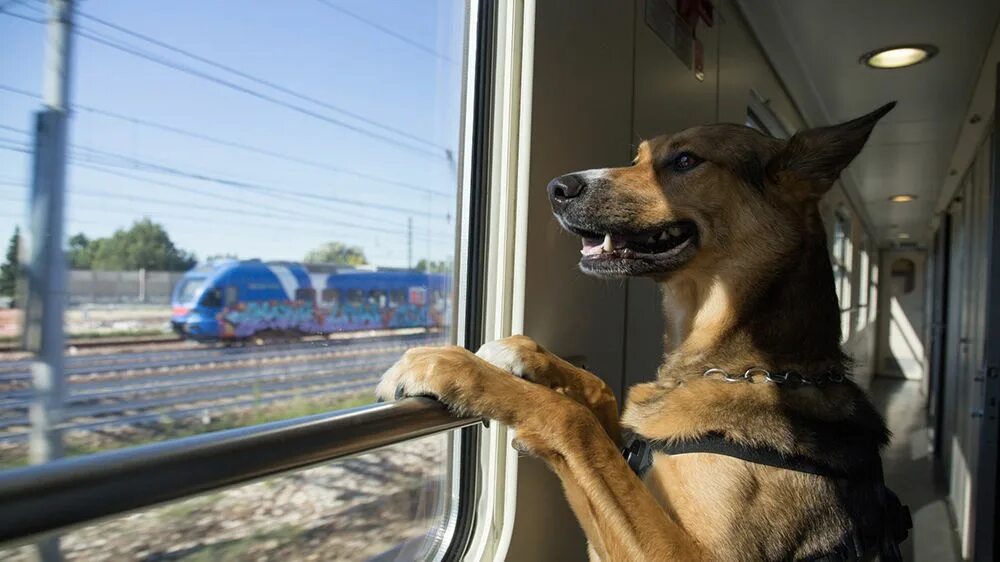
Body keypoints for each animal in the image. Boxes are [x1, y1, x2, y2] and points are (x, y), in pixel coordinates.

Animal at [376, 105, 908, 560]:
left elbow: (574, 421)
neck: (751, 368)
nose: (556, 188)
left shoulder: (685, 555)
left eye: (686, 160)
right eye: (637, 159)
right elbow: (600, 396)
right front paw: (523, 354)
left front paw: (451, 366)